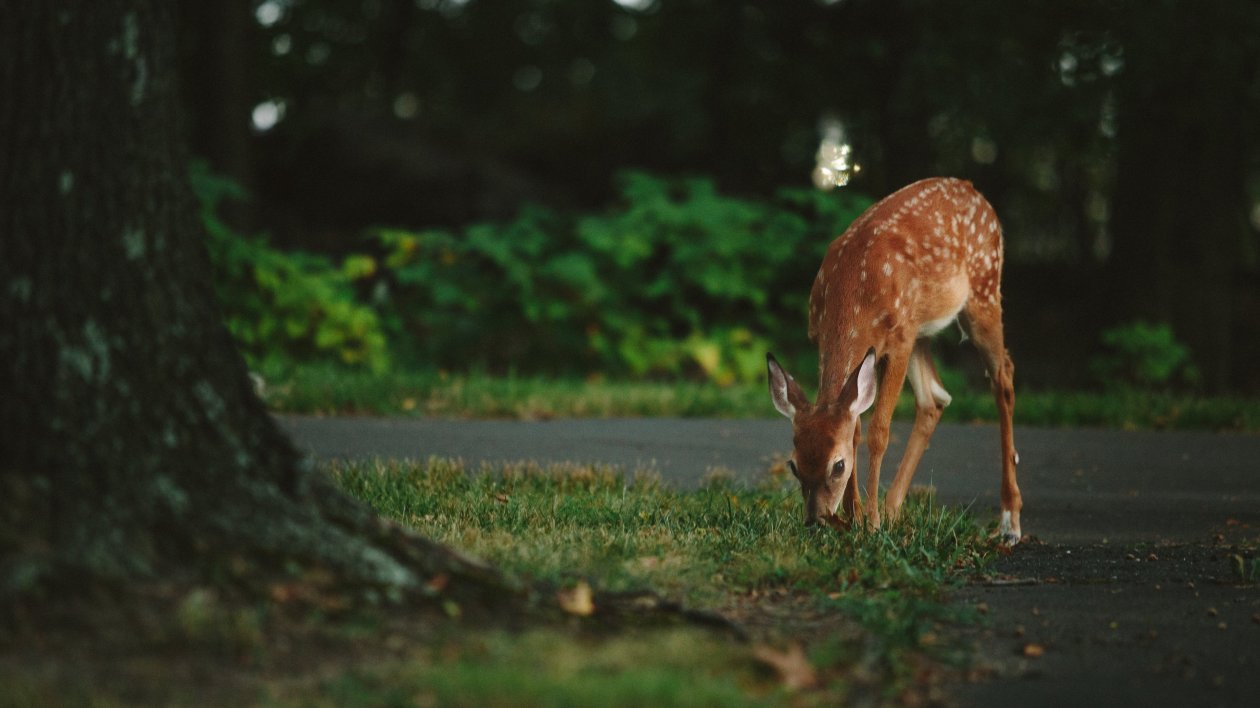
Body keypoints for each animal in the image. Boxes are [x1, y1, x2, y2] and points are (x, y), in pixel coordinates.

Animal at [766, 177, 1022, 545]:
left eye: (838, 466)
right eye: (794, 465)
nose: (816, 520)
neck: (853, 293)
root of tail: (973, 190)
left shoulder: (898, 341)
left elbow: (878, 431)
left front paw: (869, 523)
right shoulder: (827, 339)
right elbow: (855, 427)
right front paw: (856, 518)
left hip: (983, 291)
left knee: (1003, 377)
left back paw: (1009, 521)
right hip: (922, 330)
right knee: (935, 398)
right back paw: (892, 510)